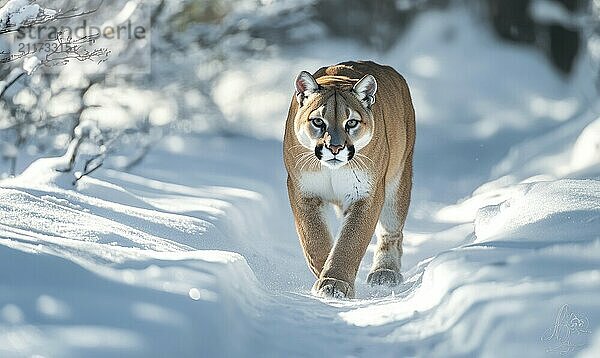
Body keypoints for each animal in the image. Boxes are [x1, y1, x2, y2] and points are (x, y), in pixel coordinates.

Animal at [284, 61, 414, 300]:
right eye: (318, 121)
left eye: (351, 122)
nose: (335, 148)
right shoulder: (302, 190)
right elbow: (314, 237)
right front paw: (325, 276)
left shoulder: (367, 194)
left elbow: (350, 242)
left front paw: (334, 283)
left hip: (398, 180)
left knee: (391, 232)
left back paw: (385, 272)